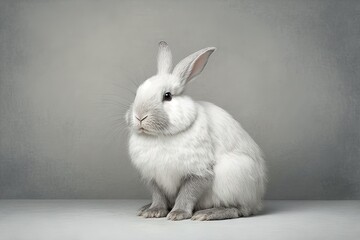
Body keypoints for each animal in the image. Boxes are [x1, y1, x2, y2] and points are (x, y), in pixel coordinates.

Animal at [125, 41, 266, 221]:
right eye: (137, 92)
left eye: (167, 96)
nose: (139, 116)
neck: (161, 136)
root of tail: (257, 201)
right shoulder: (153, 177)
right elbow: (158, 196)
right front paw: (154, 211)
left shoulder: (199, 172)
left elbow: (187, 193)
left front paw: (177, 214)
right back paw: (145, 207)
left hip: (234, 176)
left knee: (239, 210)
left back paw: (208, 213)